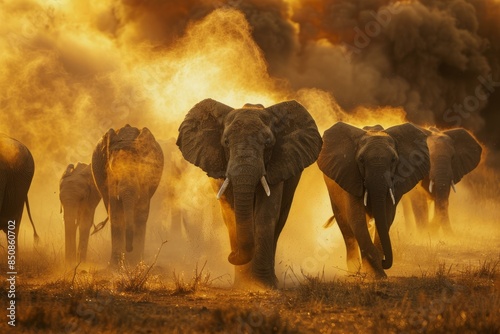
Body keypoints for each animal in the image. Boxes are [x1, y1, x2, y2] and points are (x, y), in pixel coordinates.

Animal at [92, 124, 164, 264]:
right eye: (115, 169)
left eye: (140, 167)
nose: (129, 248)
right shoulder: (110, 176)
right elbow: (115, 213)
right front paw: (116, 265)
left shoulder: (147, 174)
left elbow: (141, 214)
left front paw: (136, 263)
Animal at [178, 98, 322, 288]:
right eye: (226, 143)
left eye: (268, 143)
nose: (231, 255)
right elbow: (231, 215)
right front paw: (243, 284)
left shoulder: (276, 165)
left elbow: (266, 214)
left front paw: (262, 285)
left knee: (280, 220)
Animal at [320, 121, 430, 278]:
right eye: (361, 160)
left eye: (394, 160)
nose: (384, 262)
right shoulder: (350, 175)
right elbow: (356, 218)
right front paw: (377, 274)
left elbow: (387, 216)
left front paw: (377, 270)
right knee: (345, 226)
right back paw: (353, 270)